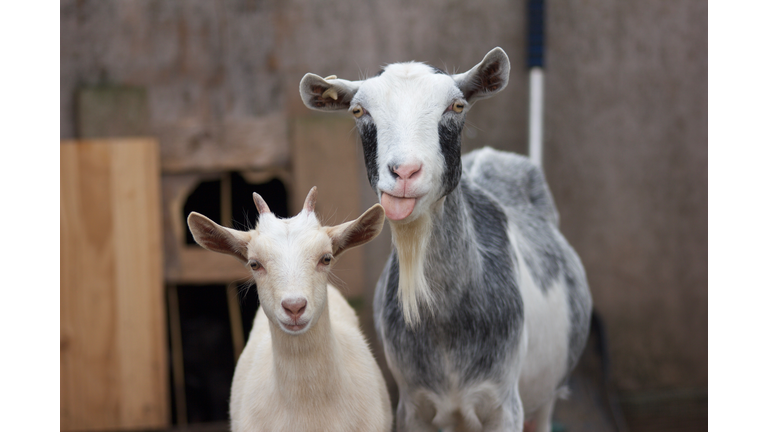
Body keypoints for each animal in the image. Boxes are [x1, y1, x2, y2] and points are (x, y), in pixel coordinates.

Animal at [300, 48, 592, 432]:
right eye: (359, 111)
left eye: (456, 106)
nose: (405, 172)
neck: (445, 326)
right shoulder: (412, 405)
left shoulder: (504, 406)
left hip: (545, 398)